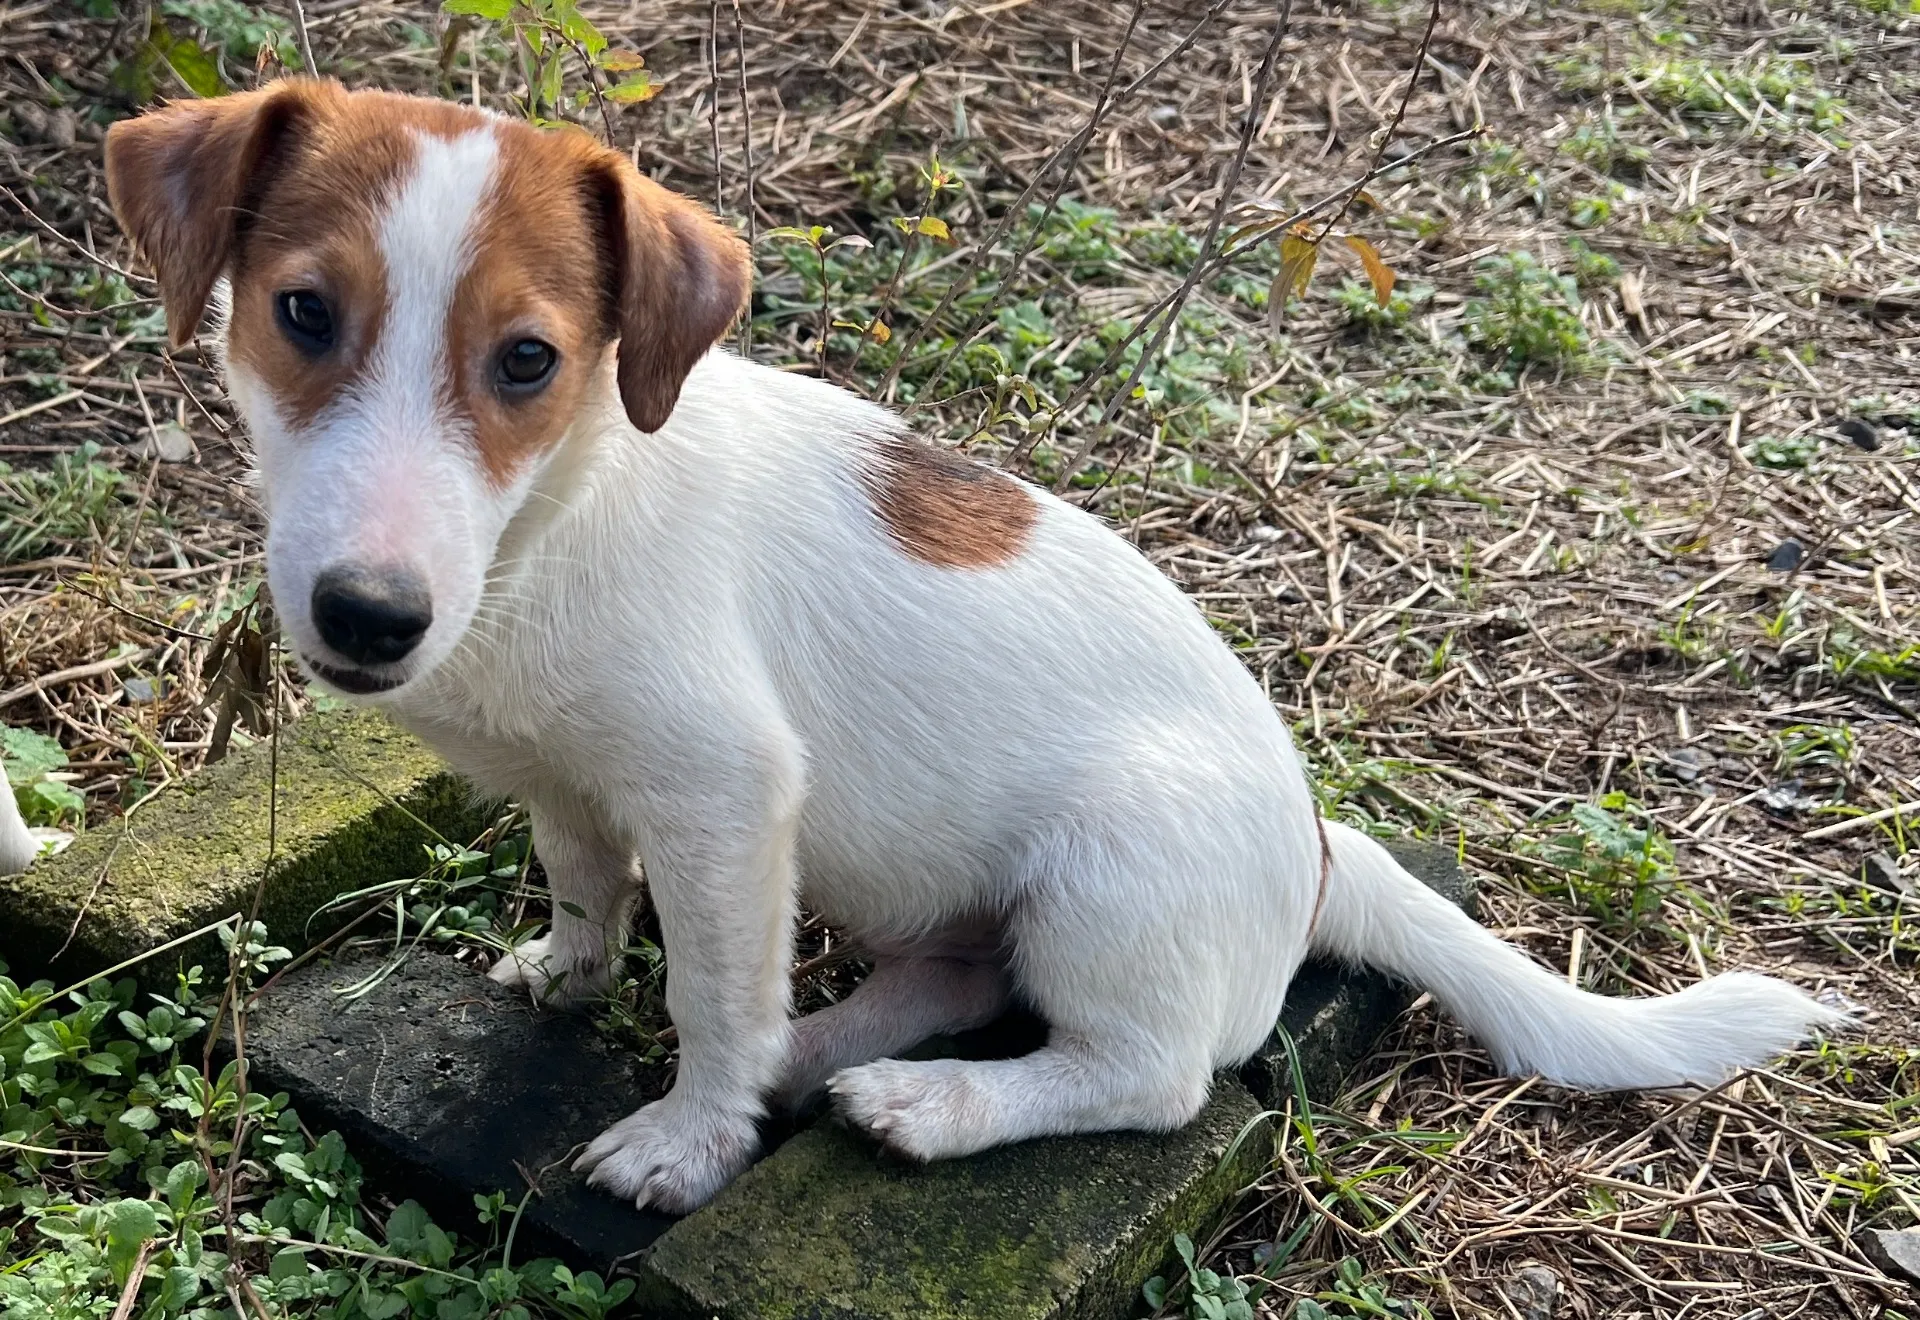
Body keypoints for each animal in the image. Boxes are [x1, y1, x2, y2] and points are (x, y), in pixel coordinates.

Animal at [93, 80, 1843, 1220]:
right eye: (302, 315)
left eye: (528, 361)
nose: (366, 618)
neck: (557, 519)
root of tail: (1316, 848)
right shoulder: (580, 786)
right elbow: (591, 895)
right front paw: (567, 979)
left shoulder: (724, 801)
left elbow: (710, 995)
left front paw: (688, 1139)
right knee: (950, 969)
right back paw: (830, 1053)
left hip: (1110, 880)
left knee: (1151, 1075)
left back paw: (925, 1105)